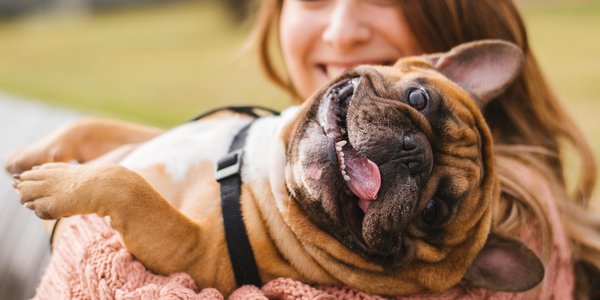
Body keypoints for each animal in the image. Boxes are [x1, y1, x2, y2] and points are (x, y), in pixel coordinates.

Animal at [8, 39, 544, 296]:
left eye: (434, 211)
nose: (413, 152)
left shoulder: (191, 252)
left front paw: (56, 184)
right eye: (419, 98)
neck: (266, 167)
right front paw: (34, 153)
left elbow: (127, 184)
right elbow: (93, 126)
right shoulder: (153, 136)